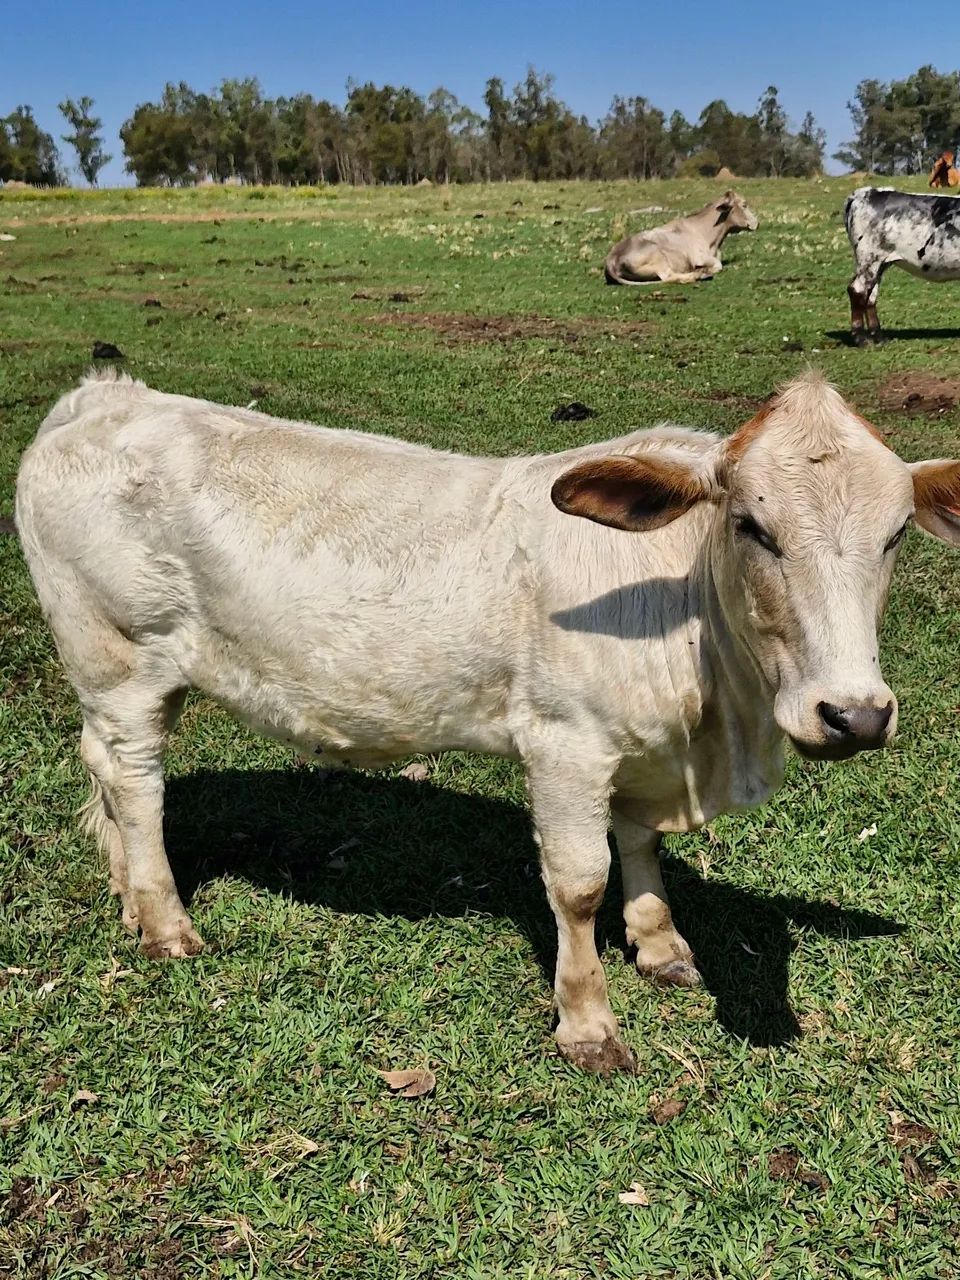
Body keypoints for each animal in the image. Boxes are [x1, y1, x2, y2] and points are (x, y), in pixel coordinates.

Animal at [15, 370, 960, 1074]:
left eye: (895, 536)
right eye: (752, 526)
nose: (855, 713)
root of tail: (104, 397)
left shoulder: (637, 751)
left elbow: (640, 844)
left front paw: (659, 946)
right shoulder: (564, 742)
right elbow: (578, 882)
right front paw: (588, 1023)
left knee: (109, 777)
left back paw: (129, 898)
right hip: (118, 660)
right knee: (135, 780)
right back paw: (166, 922)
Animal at [604, 190, 758, 285]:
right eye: (744, 204)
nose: (757, 222)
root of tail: (611, 258)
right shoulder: (699, 258)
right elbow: (718, 265)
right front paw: (705, 270)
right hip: (658, 256)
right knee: (668, 276)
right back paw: (699, 274)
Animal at [845, 186, 960, 345]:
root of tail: (867, 192)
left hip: (879, 263)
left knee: (871, 295)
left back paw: (878, 336)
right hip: (869, 257)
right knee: (857, 290)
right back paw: (860, 338)